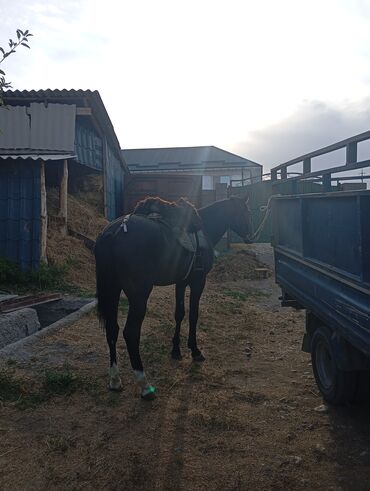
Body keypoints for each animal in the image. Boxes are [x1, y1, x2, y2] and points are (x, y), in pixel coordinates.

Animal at [94, 196, 253, 400]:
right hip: (139, 295)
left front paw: (176, 350)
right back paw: (145, 385)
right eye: (246, 212)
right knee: (130, 333)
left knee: (112, 329)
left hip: (113, 290)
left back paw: (115, 380)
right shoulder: (198, 282)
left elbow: (179, 314)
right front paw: (195, 350)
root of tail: (114, 231)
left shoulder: (181, 282)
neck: (205, 226)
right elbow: (193, 315)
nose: (250, 236)